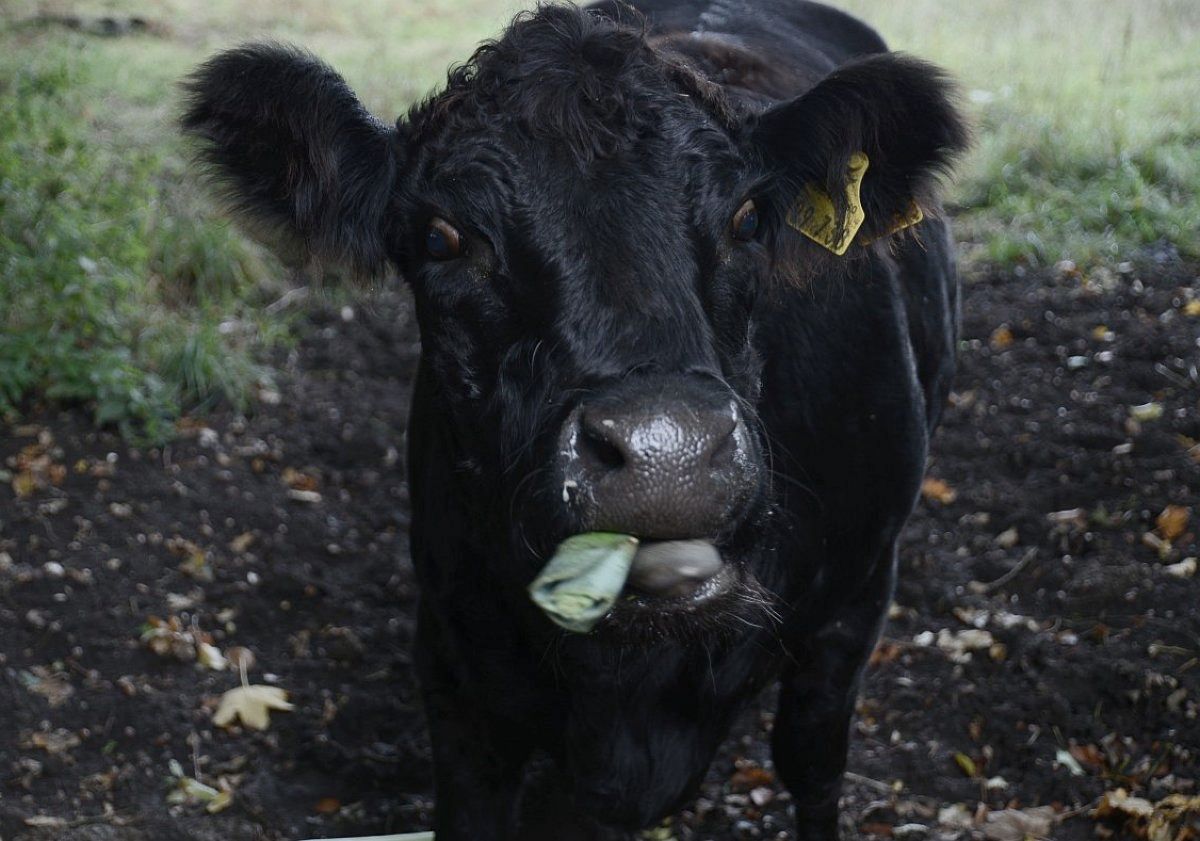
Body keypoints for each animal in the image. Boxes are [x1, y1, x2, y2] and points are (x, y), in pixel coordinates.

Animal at [182, 3, 964, 835]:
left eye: (749, 218)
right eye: (441, 237)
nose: (666, 451)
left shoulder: (856, 598)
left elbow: (812, 762)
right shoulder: (456, 658)